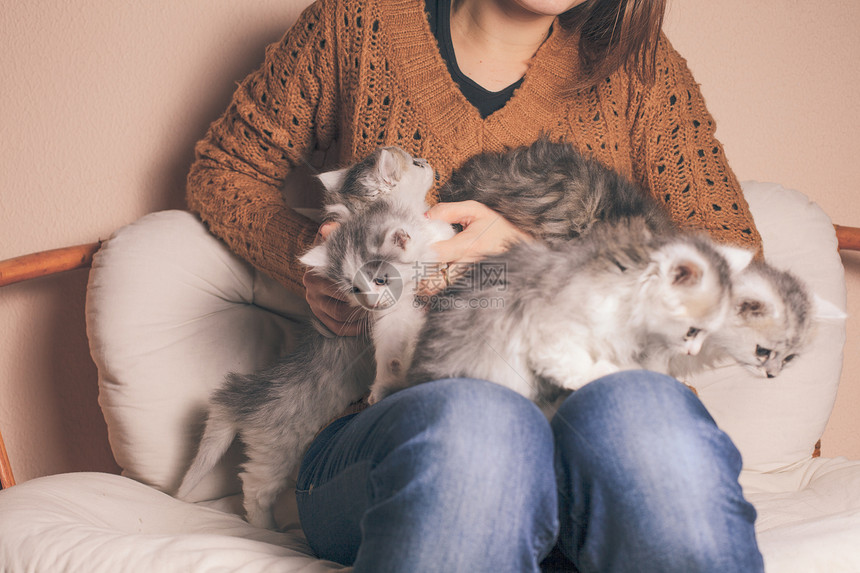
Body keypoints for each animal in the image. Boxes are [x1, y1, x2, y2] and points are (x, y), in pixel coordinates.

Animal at [172, 146, 446, 528]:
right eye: (416, 164)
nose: (429, 162)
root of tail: (243, 397)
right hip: (277, 453)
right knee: (254, 488)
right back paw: (268, 528)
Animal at [406, 217, 748, 408]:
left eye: (706, 334)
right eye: (692, 331)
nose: (694, 352)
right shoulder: (547, 331)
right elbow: (577, 364)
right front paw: (605, 372)